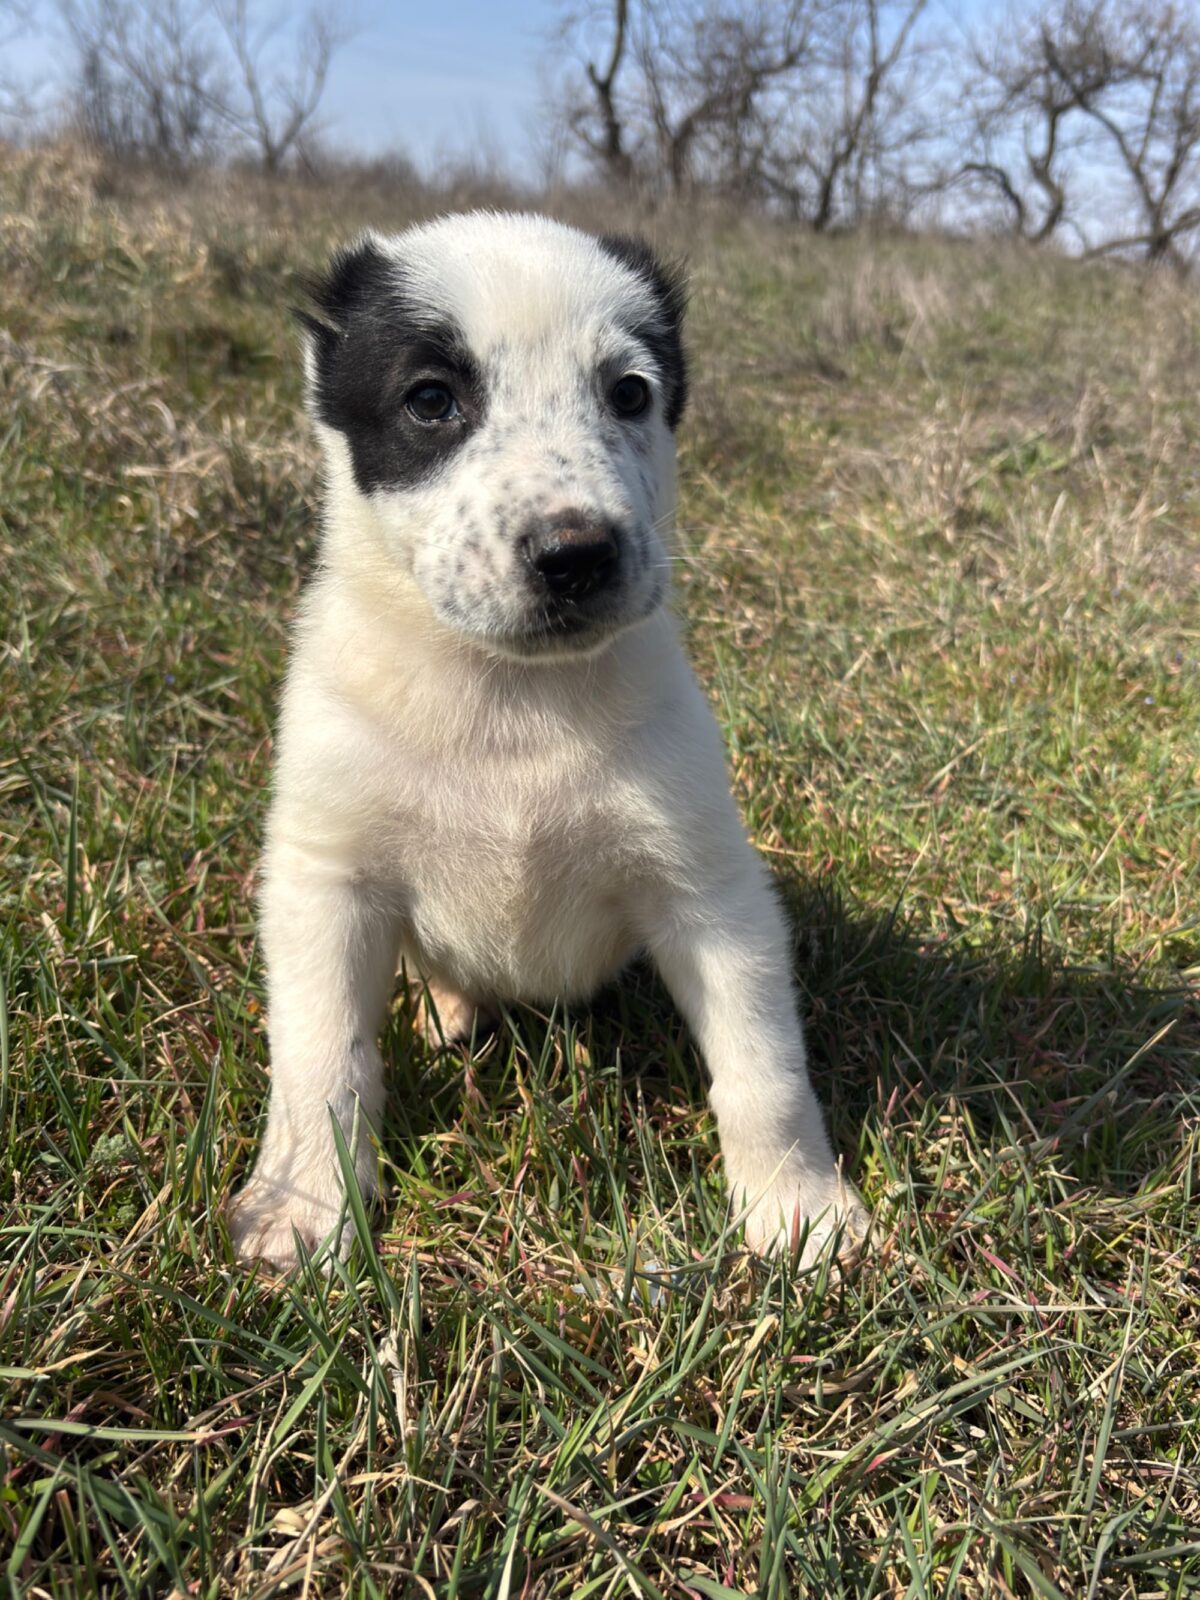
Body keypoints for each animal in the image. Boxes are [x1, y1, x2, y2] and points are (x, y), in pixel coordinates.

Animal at [228, 212, 866, 1270]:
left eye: (630, 392)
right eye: (431, 400)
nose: (577, 555)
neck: (511, 704)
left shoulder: (711, 895)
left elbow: (763, 1067)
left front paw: (797, 1207)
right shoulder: (326, 883)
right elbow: (323, 1060)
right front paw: (302, 1207)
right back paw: (447, 1012)